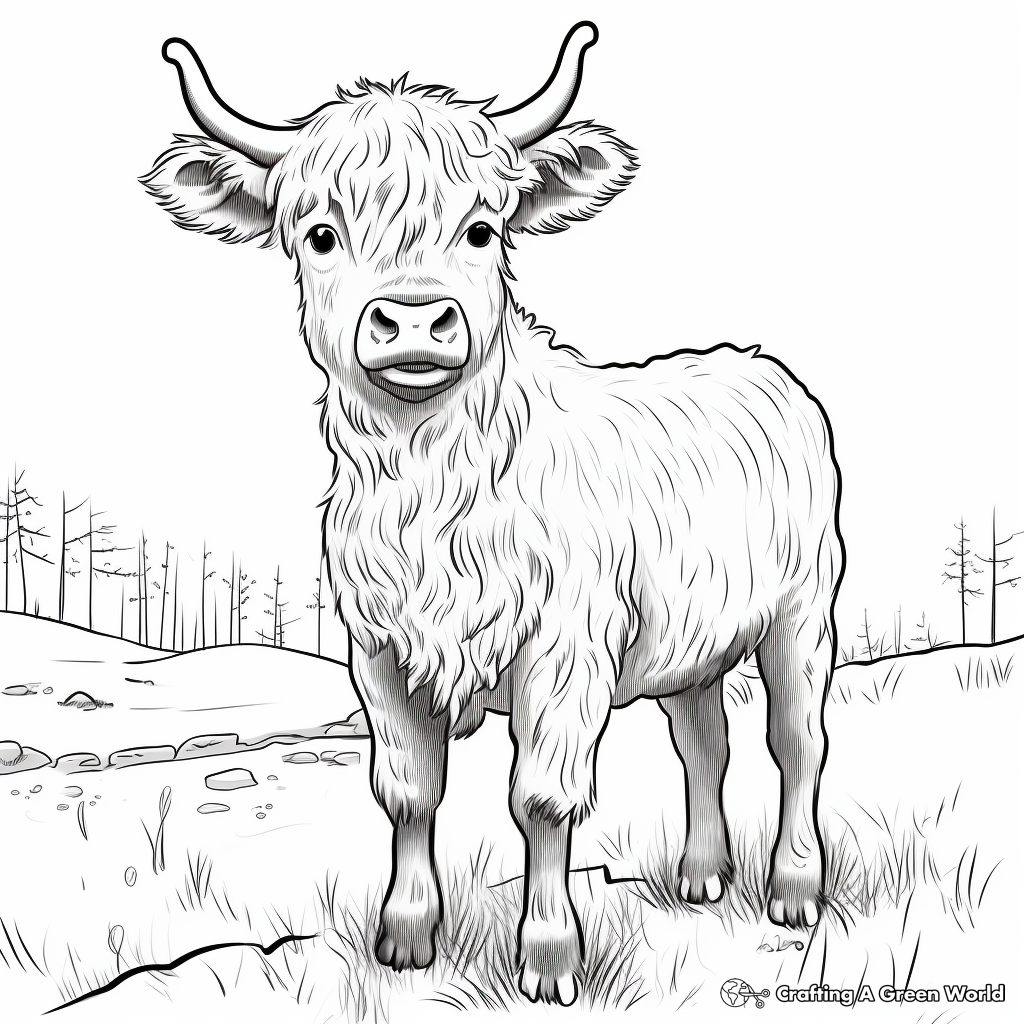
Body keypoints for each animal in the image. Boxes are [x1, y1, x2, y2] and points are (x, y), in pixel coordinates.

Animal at [143, 22, 843, 1006]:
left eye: (482, 229)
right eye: (319, 234)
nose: (412, 319)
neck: (433, 499)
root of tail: (752, 363)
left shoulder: (566, 649)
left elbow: (542, 799)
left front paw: (548, 957)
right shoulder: (379, 650)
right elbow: (408, 791)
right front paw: (405, 937)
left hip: (802, 616)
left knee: (797, 743)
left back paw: (792, 889)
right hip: (692, 642)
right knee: (705, 741)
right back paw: (702, 874)